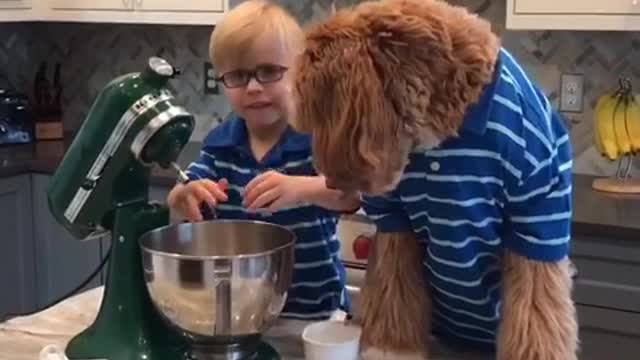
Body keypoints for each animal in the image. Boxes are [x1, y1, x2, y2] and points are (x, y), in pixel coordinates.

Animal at [294, 0, 580, 360]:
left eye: (321, 113)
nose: (330, 184)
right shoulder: (395, 221)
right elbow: (394, 288)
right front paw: (393, 347)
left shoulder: (537, 217)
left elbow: (536, 310)